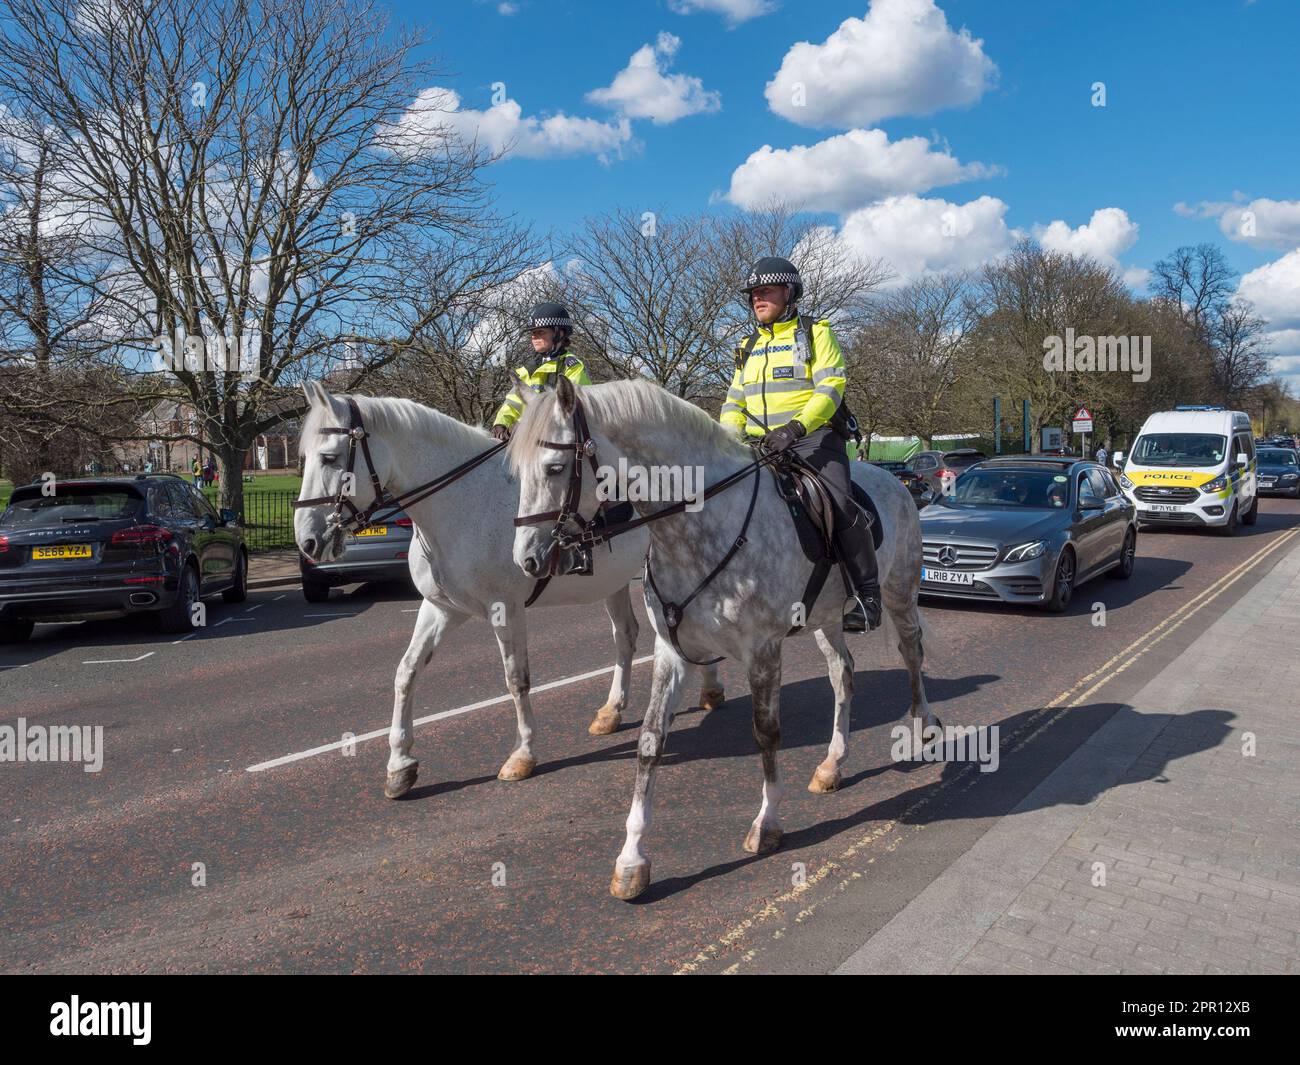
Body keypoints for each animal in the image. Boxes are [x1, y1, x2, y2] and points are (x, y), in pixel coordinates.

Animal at [288, 382, 728, 801]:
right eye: (302, 459)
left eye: (329, 458)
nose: (306, 541)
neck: (463, 505)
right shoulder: (440, 608)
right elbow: (406, 672)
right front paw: (399, 765)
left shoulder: (506, 609)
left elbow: (516, 680)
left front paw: (523, 754)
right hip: (616, 581)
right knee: (626, 635)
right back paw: (612, 711)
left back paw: (710, 688)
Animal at [501, 379, 941, 894]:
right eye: (516, 472)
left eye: (554, 468)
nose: (526, 560)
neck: (697, 527)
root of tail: (894, 481)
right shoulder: (671, 652)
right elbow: (650, 742)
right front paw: (631, 859)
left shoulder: (763, 650)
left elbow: (766, 733)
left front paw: (767, 823)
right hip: (828, 619)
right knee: (843, 676)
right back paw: (833, 763)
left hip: (899, 593)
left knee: (911, 651)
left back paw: (923, 723)